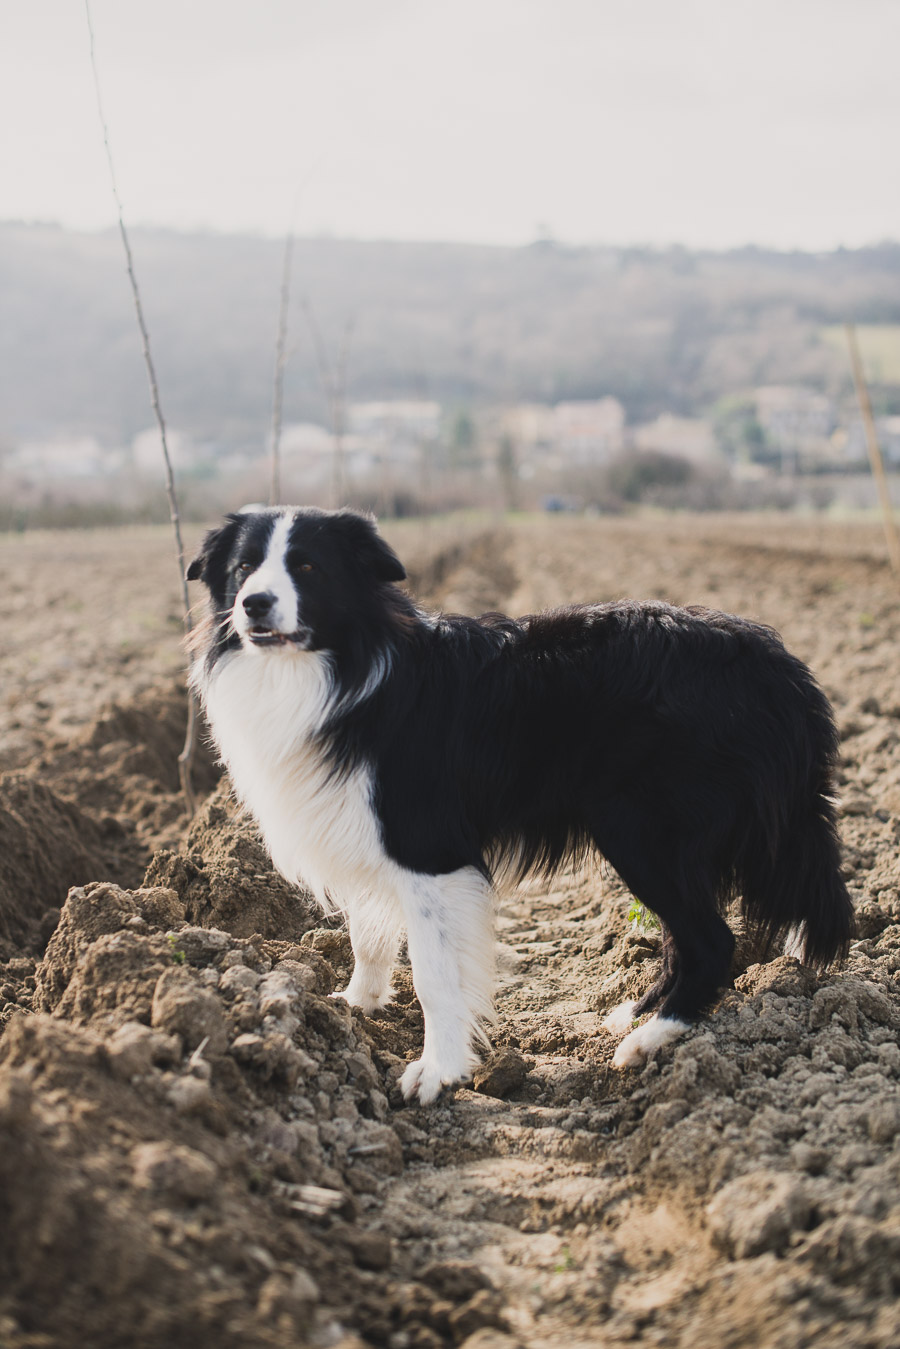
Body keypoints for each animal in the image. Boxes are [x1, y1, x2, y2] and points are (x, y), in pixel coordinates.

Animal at [186, 509, 858, 1100]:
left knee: (712, 942)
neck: (341, 669)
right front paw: (353, 1010)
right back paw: (634, 1014)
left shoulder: (426, 849)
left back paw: (649, 1042)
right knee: (684, 939)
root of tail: (779, 667)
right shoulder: (360, 825)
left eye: (307, 567)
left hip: (642, 831)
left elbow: (434, 973)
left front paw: (437, 1071)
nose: (254, 604)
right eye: (244, 568)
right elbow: (367, 936)